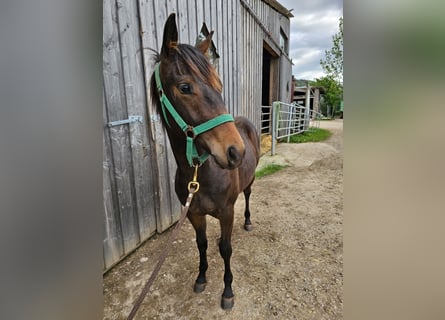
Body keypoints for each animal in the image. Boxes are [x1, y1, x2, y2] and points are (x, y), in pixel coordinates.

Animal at [150, 13, 260, 308]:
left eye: (219, 86)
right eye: (185, 87)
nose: (236, 151)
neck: (200, 174)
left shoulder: (226, 212)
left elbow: (225, 248)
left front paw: (227, 291)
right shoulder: (194, 214)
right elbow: (202, 245)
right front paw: (201, 278)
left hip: (249, 182)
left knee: (248, 196)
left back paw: (248, 221)